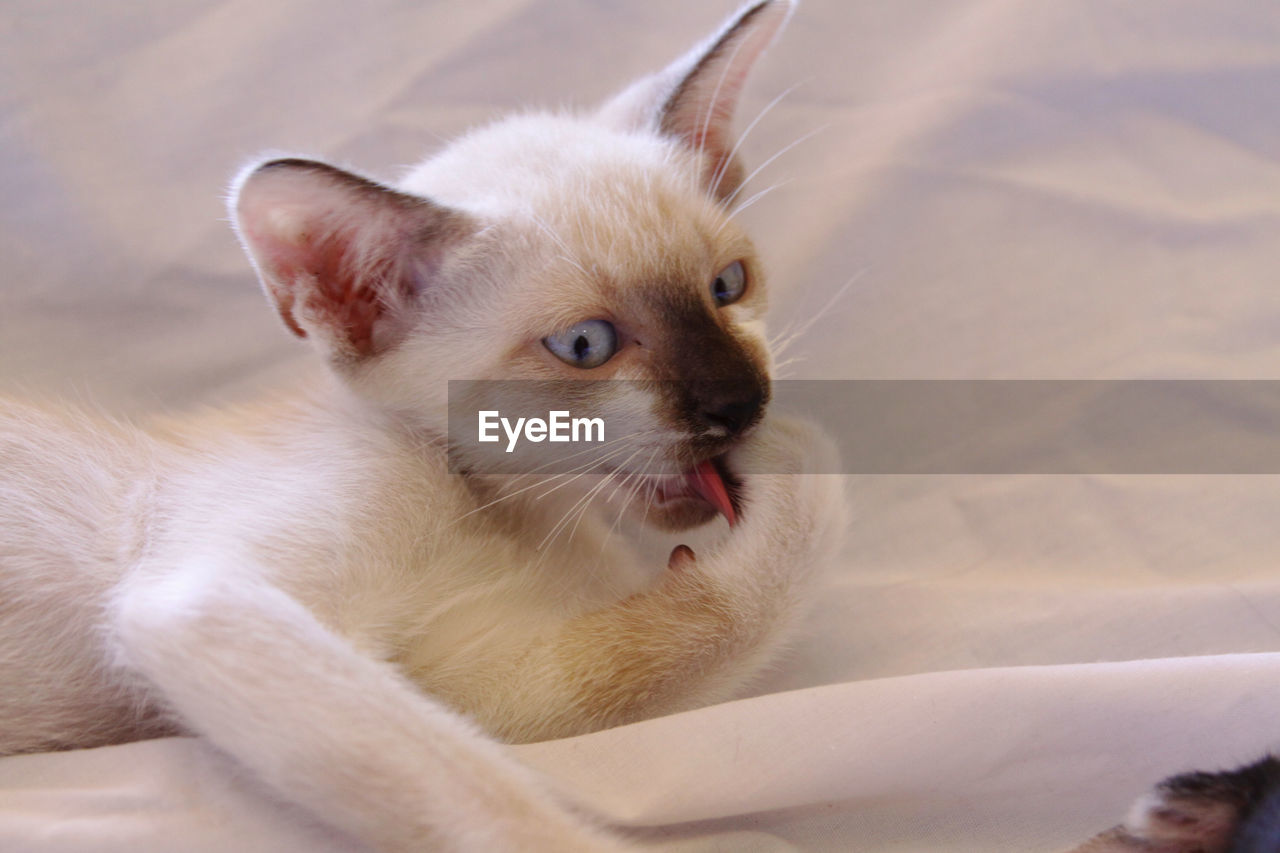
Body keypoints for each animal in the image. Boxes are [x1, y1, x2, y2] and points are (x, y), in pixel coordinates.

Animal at [0, 3, 849, 845]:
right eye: (586, 345)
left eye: (728, 286)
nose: (742, 403)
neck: (505, 514)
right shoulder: (212, 604)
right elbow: (493, 801)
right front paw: (798, 457)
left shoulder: (470, 683)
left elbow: (661, 647)